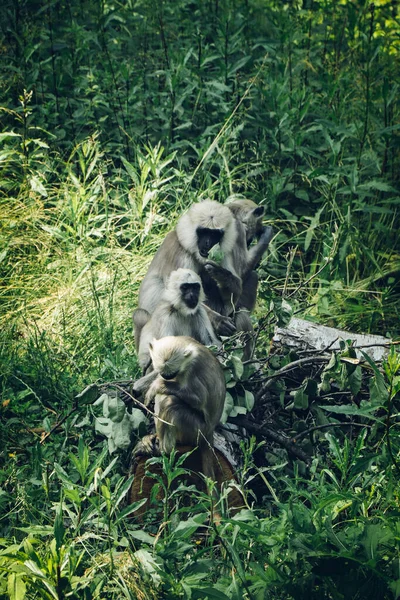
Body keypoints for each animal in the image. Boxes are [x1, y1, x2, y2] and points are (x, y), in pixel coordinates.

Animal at [134, 199, 241, 346]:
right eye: (203, 232)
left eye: (214, 234)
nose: (207, 243)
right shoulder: (181, 254)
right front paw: (219, 321)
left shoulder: (223, 253)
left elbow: (233, 297)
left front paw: (220, 273)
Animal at [134, 338, 223, 482]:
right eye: (163, 372)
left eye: (172, 373)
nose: (165, 377)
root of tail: (209, 432)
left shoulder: (192, 368)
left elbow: (200, 399)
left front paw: (155, 386)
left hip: (196, 428)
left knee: (171, 402)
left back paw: (164, 449)